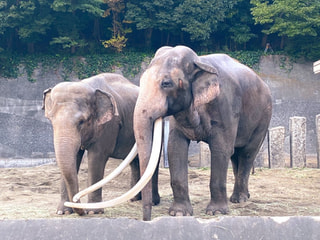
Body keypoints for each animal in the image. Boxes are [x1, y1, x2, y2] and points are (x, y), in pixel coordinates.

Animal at [43, 72, 160, 216]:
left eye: (82, 121)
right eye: (51, 120)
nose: (77, 201)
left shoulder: (109, 125)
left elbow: (96, 157)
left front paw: (93, 212)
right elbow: (75, 158)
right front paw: (62, 212)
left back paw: (153, 202)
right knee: (136, 161)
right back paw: (134, 199)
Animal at [132, 46, 272, 220]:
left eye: (166, 83)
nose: (147, 218)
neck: (199, 62)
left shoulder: (225, 106)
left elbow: (221, 149)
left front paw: (216, 212)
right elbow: (175, 148)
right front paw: (179, 213)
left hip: (264, 117)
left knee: (247, 153)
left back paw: (239, 199)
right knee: (235, 155)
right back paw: (242, 196)